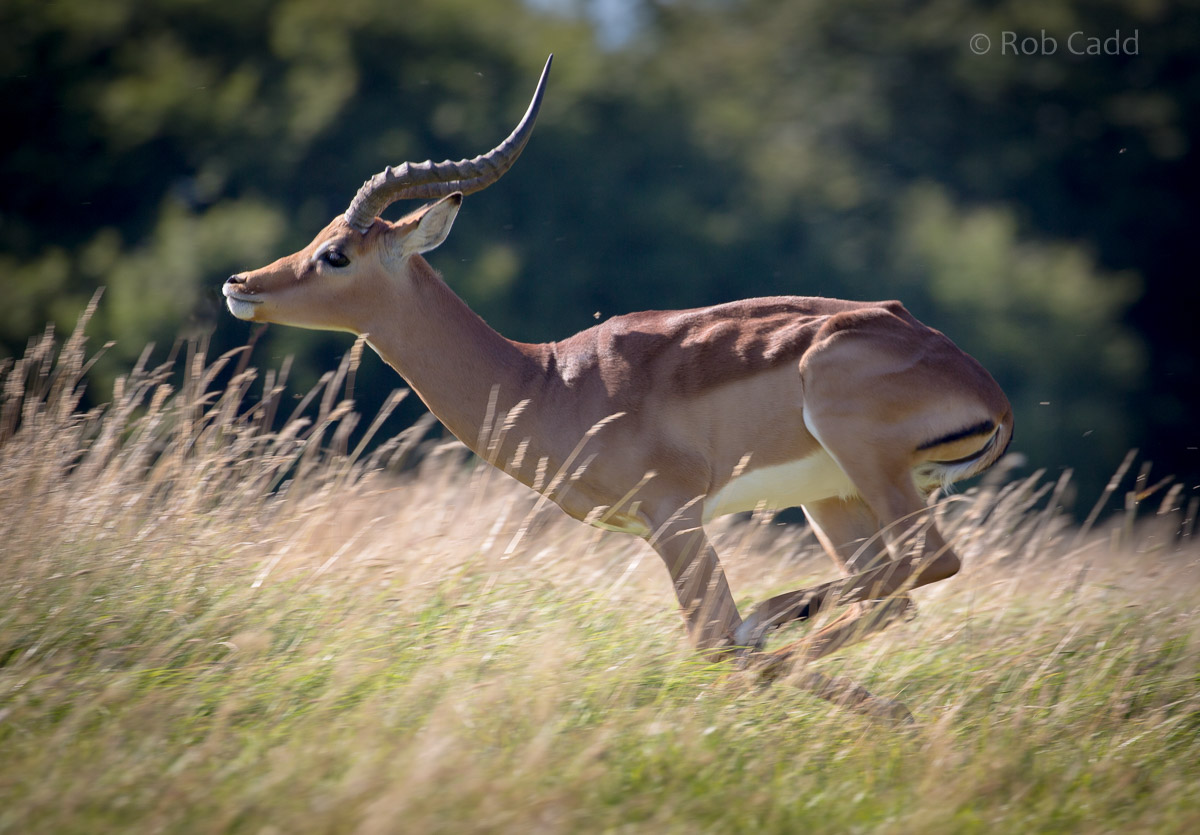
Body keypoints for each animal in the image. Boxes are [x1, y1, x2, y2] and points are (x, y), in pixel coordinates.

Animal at [224, 57, 1012, 715]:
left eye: (336, 253)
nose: (240, 282)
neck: (547, 380)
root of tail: (986, 390)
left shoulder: (673, 515)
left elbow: (710, 636)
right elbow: (719, 642)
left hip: (861, 464)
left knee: (924, 562)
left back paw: (777, 626)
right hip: (834, 496)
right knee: (894, 595)